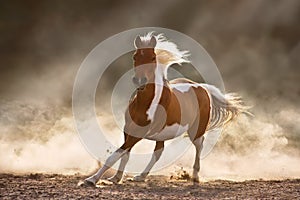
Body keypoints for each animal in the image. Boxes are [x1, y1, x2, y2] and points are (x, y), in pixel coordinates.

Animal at [82, 31, 248, 186]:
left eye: (152, 58)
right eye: (135, 57)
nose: (140, 80)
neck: (144, 103)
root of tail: (201, 87)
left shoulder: (138, 134)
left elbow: (115, 155)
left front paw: (91, 180)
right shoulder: (128, 130)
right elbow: (125, 154)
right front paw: (116, 178)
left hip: (196, 130)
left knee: (199, 146)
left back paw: (195, 177)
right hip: (162, 136)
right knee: (158, 152)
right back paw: (141, 176)